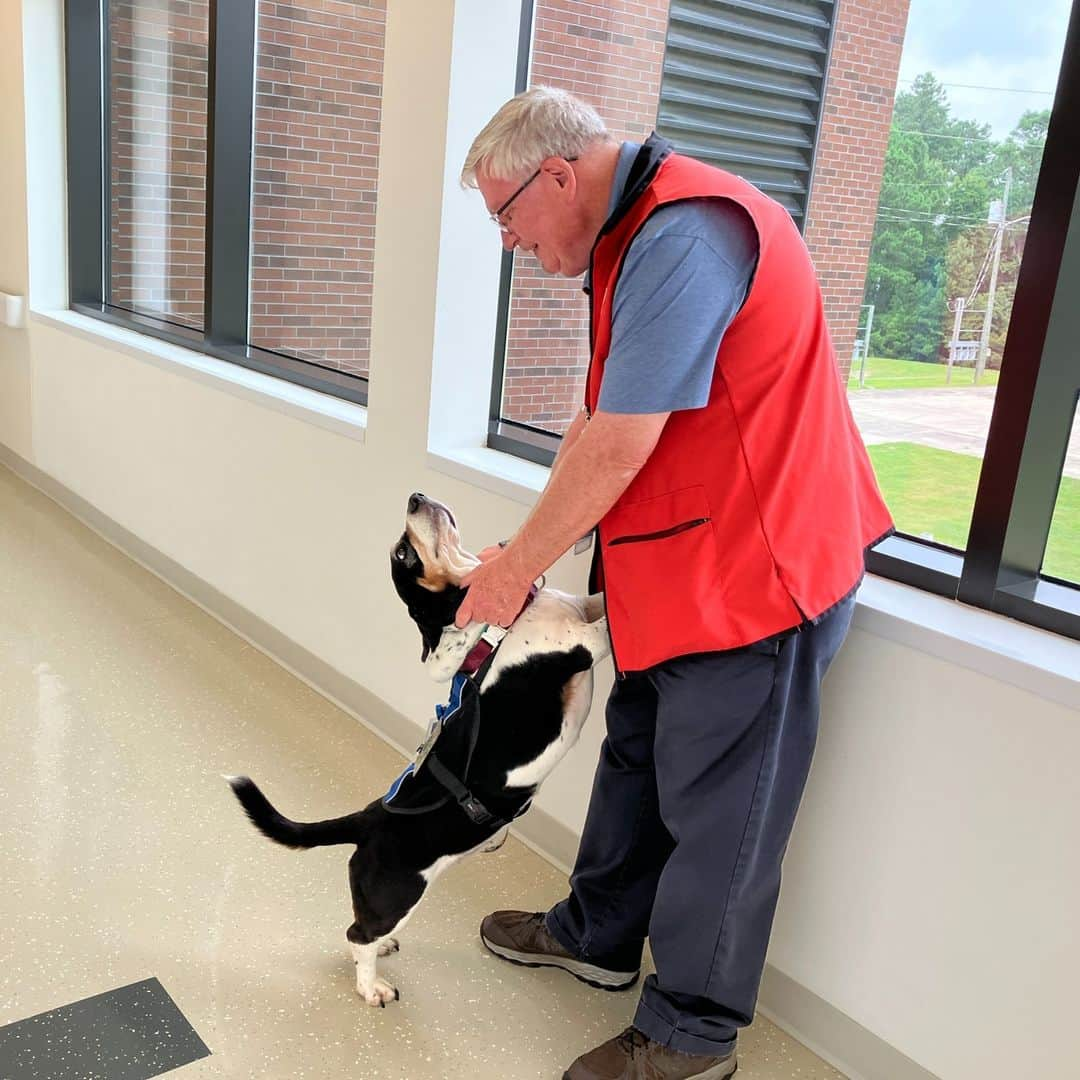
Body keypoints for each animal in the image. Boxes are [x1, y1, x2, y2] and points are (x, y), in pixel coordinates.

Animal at [223, 494, 613, 1006]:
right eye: (404, 555)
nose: (417, 497)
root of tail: (368, 818)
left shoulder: (579, 611)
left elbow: (596, 601)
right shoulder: (584, 645)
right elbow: (608, 624)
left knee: (358, 932)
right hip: (399, 893)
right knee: (357, 935)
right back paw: (371, 986)